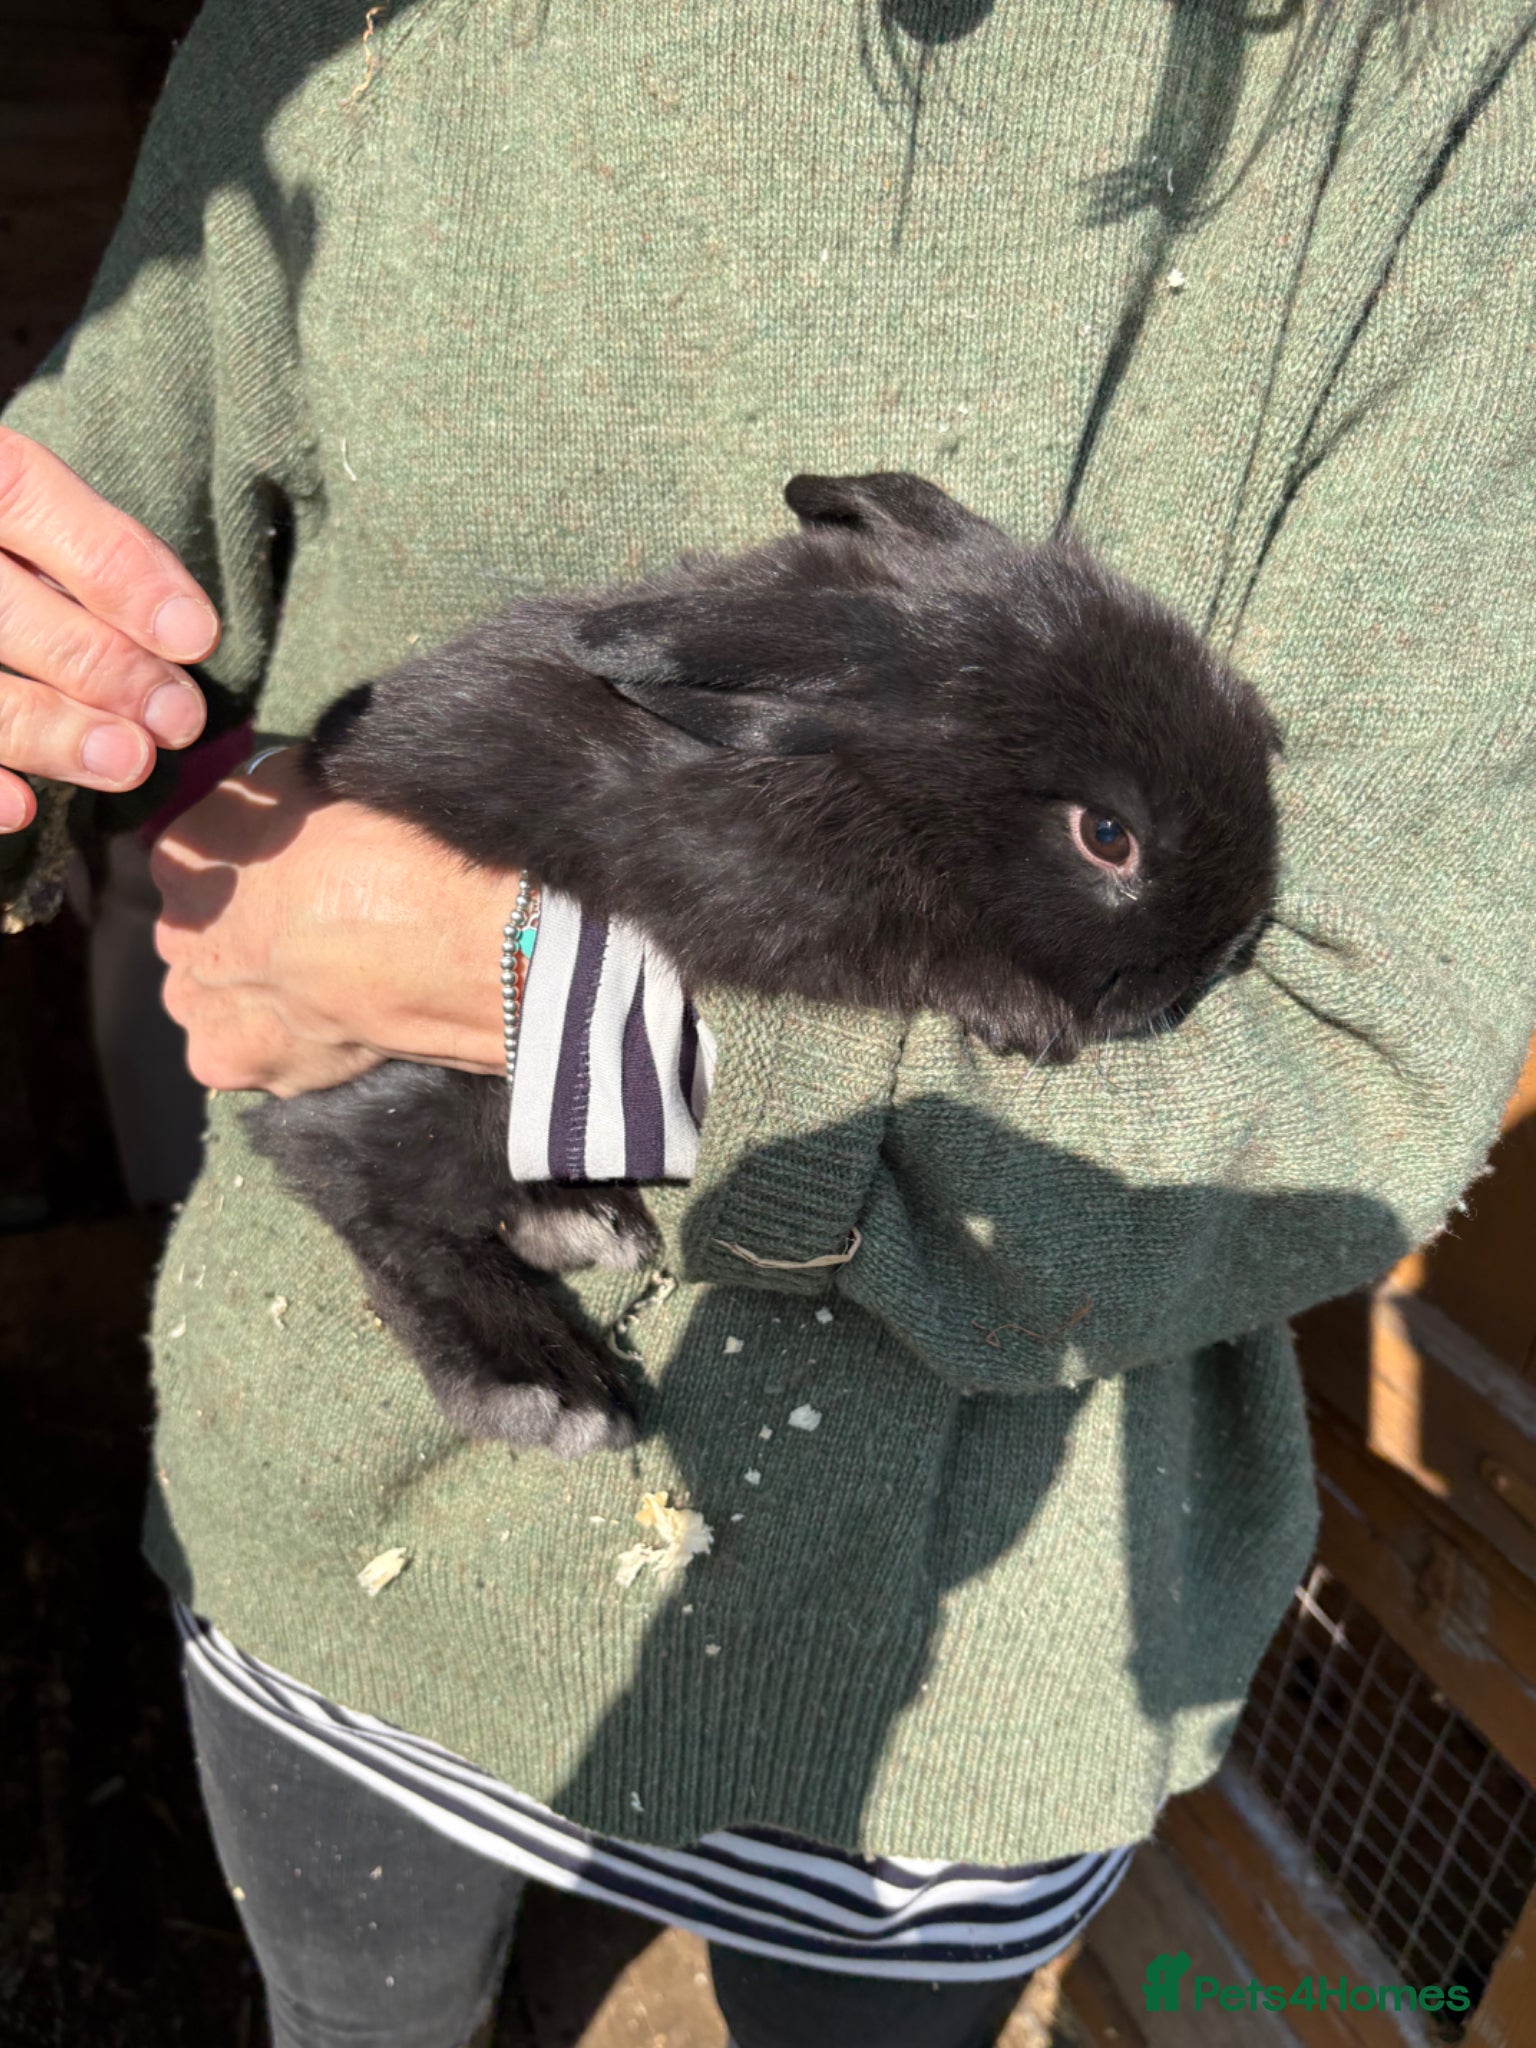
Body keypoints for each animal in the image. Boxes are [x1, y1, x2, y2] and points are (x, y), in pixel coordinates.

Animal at [244, 472, 1280, 1458]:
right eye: (1107, 835)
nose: (1231, 947)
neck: (882, 788)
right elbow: (916, 956)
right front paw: (1029, 1015)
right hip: (429, 1097)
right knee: (365, 1194)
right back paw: (543, 1384)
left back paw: (584, 1224)